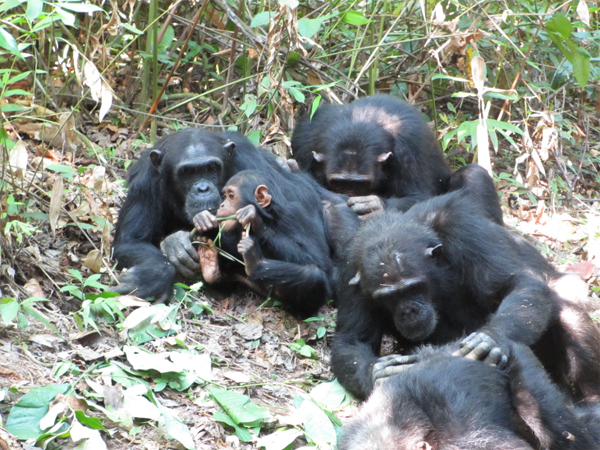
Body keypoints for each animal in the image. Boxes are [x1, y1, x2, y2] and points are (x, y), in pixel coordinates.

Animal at [290, 94, 450, 217]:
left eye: (361, 184)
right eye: (339, 183)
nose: (350, 196)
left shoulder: (411, 144)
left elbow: (419, 196)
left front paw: (375, 206)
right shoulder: (303, 139)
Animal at [330, 188, 600, 402]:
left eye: (413, 288)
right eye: (388, 297)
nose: (408, 311)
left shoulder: (464, 228)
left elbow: (518, 282)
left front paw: (491, 338)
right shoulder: (348, 266)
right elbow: (352, 339)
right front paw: (378, 374)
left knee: (566, 305)